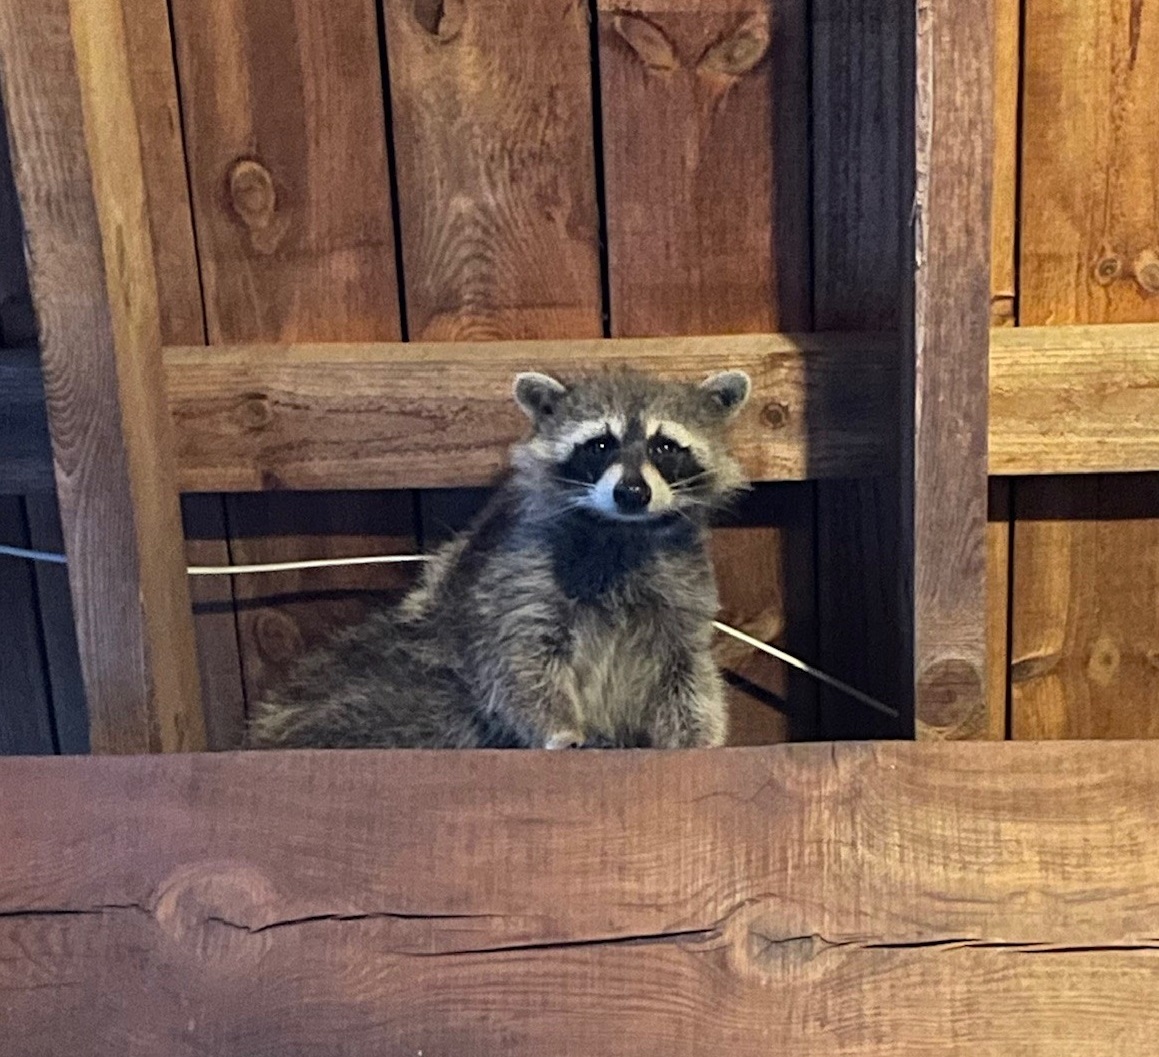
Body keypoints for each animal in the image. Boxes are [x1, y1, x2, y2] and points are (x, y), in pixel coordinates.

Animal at [247, 366, 752, 750]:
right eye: (600, 444)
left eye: (664, 446)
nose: (631, 492)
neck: (619, 530)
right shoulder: (521, 573)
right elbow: (519, 659)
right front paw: (559, 729)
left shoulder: (681, 591)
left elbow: (687, 673)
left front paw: (698, 739)